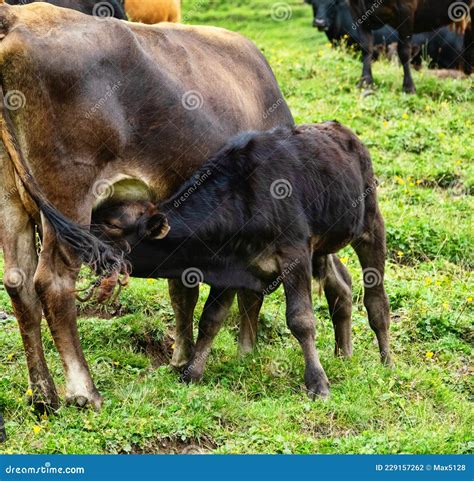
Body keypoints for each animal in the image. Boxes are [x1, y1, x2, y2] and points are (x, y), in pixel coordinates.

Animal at [0, 1, 296, 410]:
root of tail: (18, 16)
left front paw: (182, 357)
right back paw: (84, 391)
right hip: (68, 195)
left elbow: (182, 288)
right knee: (52, 283)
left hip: (11, 202)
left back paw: (43, 394)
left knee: (18, 283)